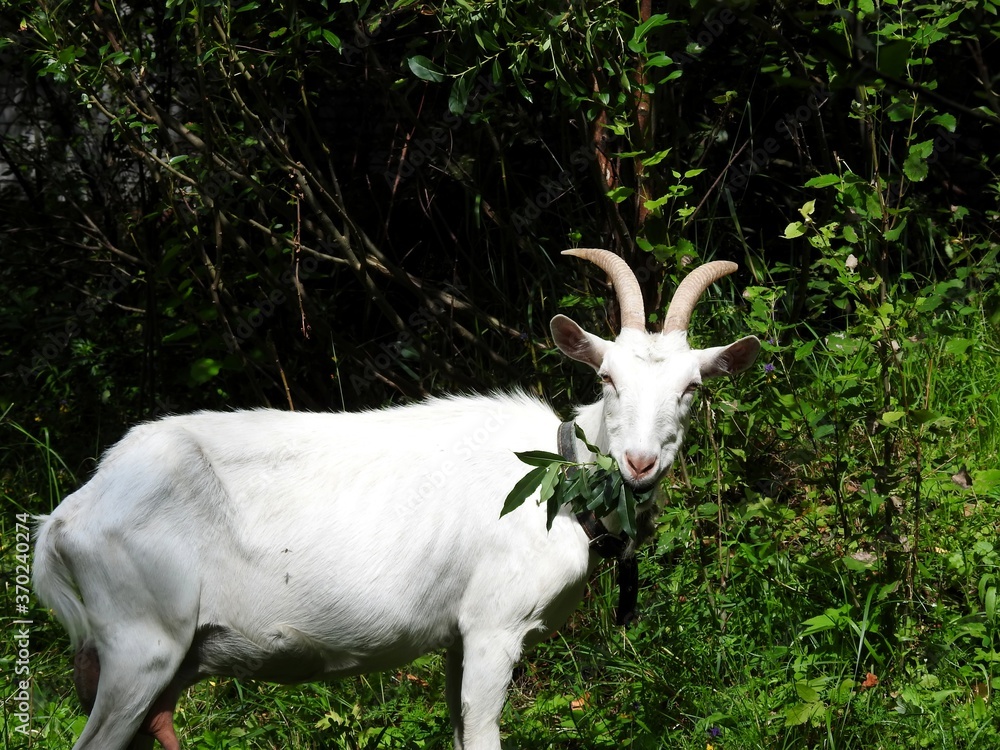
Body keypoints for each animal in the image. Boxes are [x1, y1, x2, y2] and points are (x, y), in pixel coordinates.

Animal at [34, 248, 760, 750]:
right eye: (607, 379)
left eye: (692, 388)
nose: (639, 462)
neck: (557, 482)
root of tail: (67, 518)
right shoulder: (495, 626)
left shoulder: (457, 638)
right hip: (140, 644)